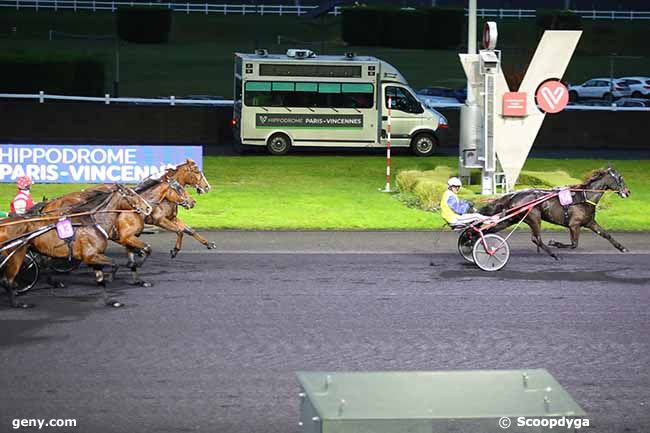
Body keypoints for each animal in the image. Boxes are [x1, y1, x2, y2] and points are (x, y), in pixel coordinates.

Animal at [0, 184, 149, 308]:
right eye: (130, 194)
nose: (147, 208)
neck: (94, 221)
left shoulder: (94, 257)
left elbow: (101, 280)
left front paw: (111, 301)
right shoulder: (91, 255)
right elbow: (115, 264)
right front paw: (113, 277)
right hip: (17, 254)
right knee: (8, 280)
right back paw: (18, 303)